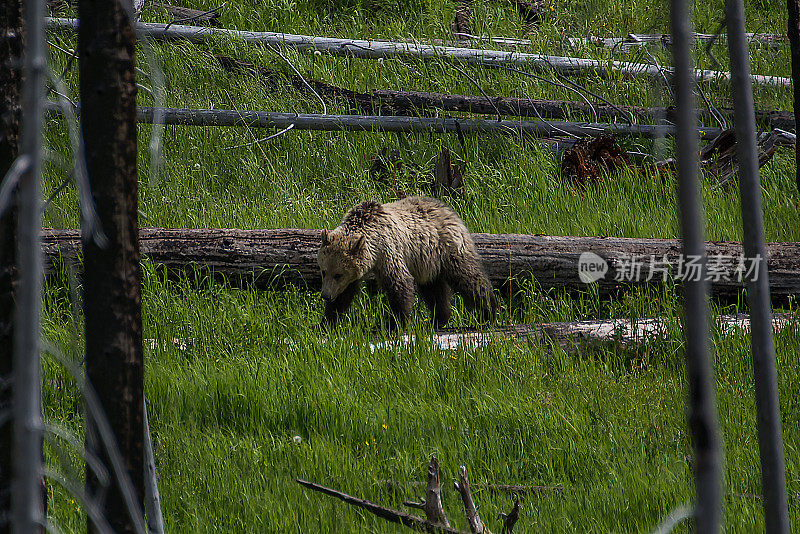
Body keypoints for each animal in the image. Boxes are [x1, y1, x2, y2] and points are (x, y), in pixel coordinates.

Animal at [318, 197, 494, 330]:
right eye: (324, 271)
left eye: (338, 274)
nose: (325, 295)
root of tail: (449, 210)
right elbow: (344, 293)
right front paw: (327, 322)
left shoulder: (388, 250)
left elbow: (399, 283)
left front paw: (395, 323)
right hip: (428, 261)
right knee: (433, 288)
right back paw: (438, 319)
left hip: (448, 247)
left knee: (469, 277)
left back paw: (488, 312)